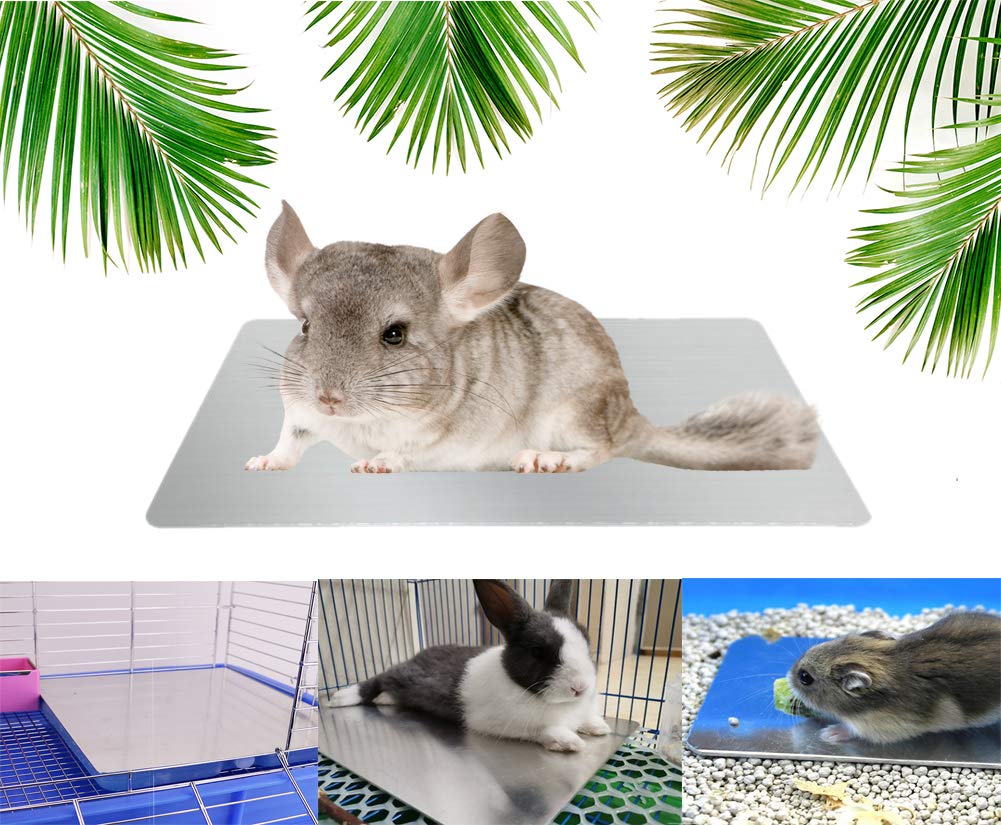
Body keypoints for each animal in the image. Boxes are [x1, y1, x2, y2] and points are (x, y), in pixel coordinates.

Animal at [246, 203, 818, 473]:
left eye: (394, 334)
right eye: (305, 326)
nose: (328, 397)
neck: (363, 424)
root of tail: (629, 412)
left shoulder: (443, 441)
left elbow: (406, 452)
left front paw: (375, 463)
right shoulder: (298, 416)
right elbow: (288, 443)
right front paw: (261, 462)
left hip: (571, 412)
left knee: (601, 449)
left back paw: (545, 459)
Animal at [328, 580, 613, 752]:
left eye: (587, 641)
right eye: (537, 651)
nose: (580, 687)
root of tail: (419, 654)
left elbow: (587, 719)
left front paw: (600, 728)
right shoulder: (501, 723)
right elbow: (545, 730)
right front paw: (570, 742)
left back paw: (383, 700)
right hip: (403, 675)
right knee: (378, 678)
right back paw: (340, 697)